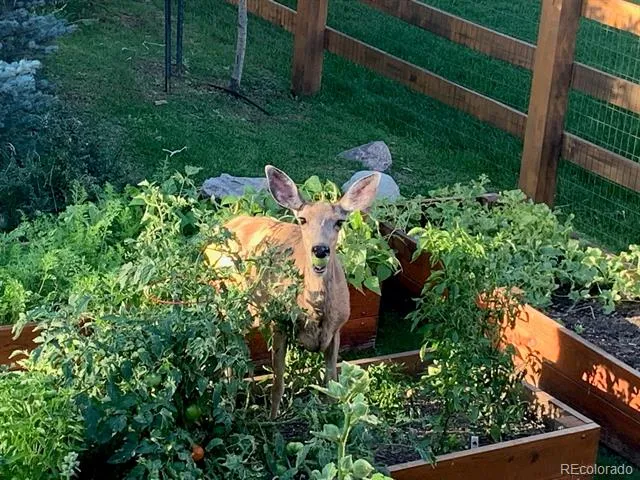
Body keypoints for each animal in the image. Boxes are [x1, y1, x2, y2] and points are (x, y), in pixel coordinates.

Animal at [205, 166, 381, 419]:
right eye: (303, 219)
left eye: (339, 221)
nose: (320, 250)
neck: (315, 313)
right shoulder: (278, 321)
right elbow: (278, 380)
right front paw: (272, 418)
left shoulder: (337, 329)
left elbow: (332, 382)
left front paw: (333, 414)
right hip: (223, 299)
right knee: (227, 347)